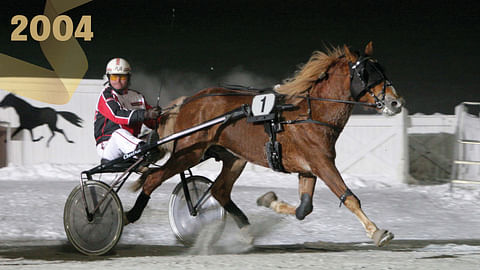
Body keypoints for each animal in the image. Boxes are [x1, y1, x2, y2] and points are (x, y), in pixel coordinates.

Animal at [125, 43, 404, 248]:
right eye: (365, 74)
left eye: (382, 70)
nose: (396, 103)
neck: (310, 113)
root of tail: (187, 101)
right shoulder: (322, 164)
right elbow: (349, 197)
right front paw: (377, 232)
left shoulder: (308, 169)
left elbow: (304, 209)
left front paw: (269, 200)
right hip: (189, 153)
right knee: (153, 179)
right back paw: (130, 216)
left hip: (234, 158)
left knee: (220, 191)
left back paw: (247, 231)